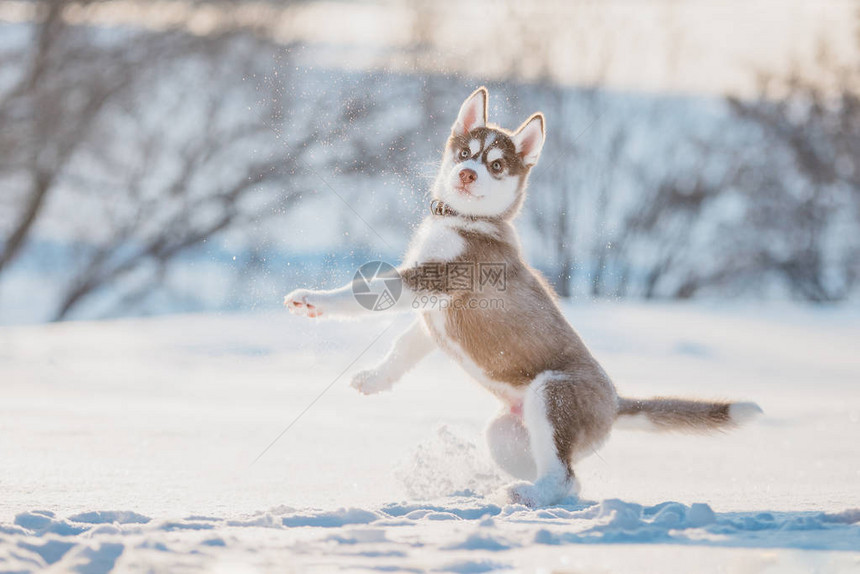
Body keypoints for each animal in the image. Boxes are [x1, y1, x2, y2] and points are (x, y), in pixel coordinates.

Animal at [284, 88, 760, 510]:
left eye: (496, 165)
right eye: (465, 153)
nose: (468, 174)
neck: (465, 220)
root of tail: (615, 403)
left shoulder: (438, 279)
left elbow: (365, 293)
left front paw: (314, 301)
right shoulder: (432, 311)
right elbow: (404, 346)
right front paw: (374, 379)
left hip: (552, 394)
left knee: (564, 476)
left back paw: (525, 497)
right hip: (508, 435)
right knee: (568, 479)